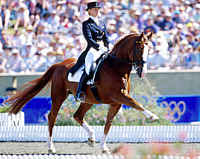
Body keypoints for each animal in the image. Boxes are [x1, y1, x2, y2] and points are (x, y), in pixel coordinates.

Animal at [5, 32, 158, 153]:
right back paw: (51, 147)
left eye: (149, 49)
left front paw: (103, 147)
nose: (143, 71)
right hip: (59, 96)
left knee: (77, 115)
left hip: (88, 100)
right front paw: (152, 116)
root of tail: (58, 64)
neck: (116, 68)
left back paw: (91, 138)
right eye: (140, 48)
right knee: (52, 117)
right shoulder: (118, 96)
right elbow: (135, 103)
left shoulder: (116, 103)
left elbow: (108, 123)